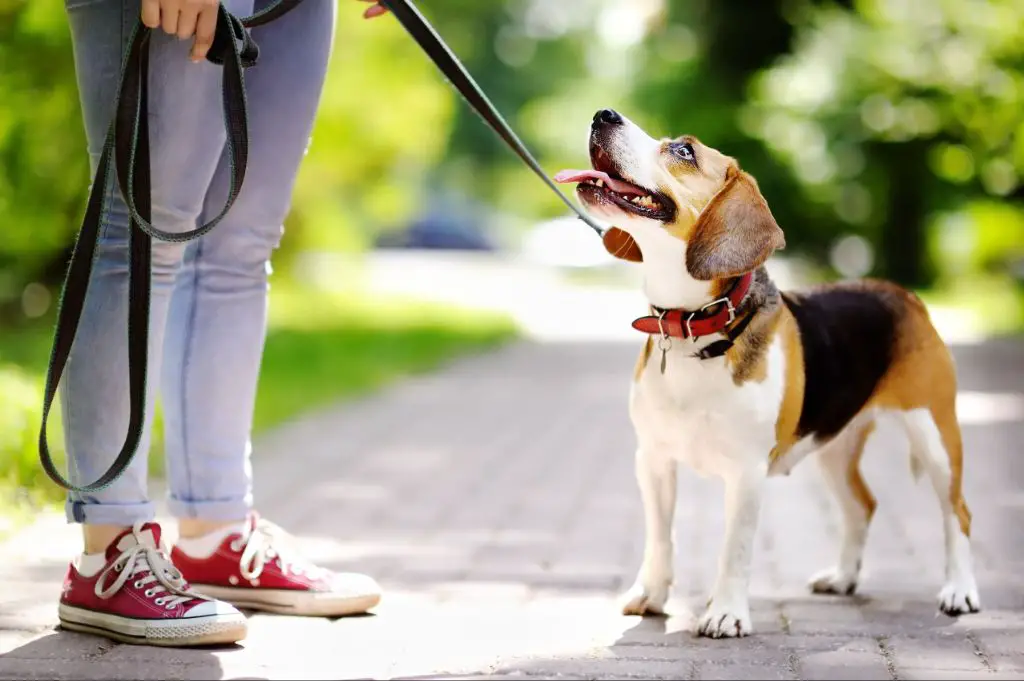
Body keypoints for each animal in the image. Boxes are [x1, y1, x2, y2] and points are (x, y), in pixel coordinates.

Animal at [557, 110, 978, 639]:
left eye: (684, 151)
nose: (603, 115)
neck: (694, 328)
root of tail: (904, 294)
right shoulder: (652, 460)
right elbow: (660, 537)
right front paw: (651, 595)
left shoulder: (746, 471)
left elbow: (733, 549)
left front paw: (725, 613)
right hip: (835, 446)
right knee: (862, 507)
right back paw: (843, 577)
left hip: (935, 434)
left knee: (957, 513)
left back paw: (960, 591)